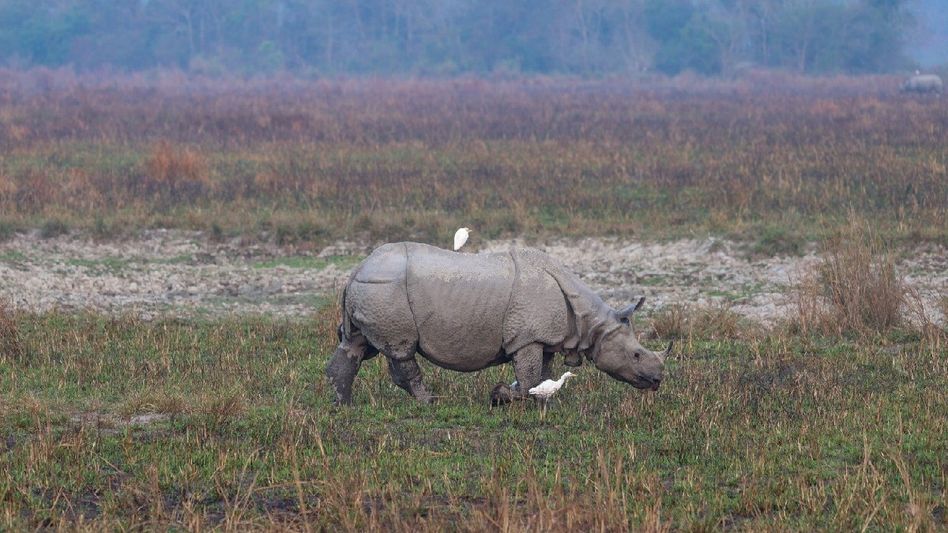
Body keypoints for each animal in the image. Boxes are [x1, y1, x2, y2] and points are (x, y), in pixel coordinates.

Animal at [326, 242, 671, 405]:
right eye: (636, 354)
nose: (657, 380)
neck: (591, 320)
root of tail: (357, 268)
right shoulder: (527, 337)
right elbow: (529, 378)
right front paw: (501, 396)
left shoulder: (543, 338)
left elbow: (541, 376)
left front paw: (539, 400)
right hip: (386, 291)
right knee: (401, 349)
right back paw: (430, 402)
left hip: (374, 290)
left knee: (356, 344)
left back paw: (344, 404)